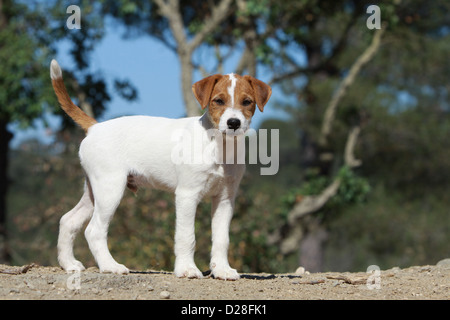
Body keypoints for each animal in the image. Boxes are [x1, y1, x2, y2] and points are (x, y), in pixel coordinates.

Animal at [51, 60, 272, 280]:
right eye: (218, 101)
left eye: (247, 102)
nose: (233, 123)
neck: (218, 145)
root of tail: (96, 127)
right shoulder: (187, 195)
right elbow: (186, 236)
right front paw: (187, 269)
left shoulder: (225, 198)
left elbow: (221, 239)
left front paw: (222, 269)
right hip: (110, 190)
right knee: (94, 230)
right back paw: (110, 266)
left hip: (94, 190)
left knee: (68, 220)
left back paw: (69, 264)